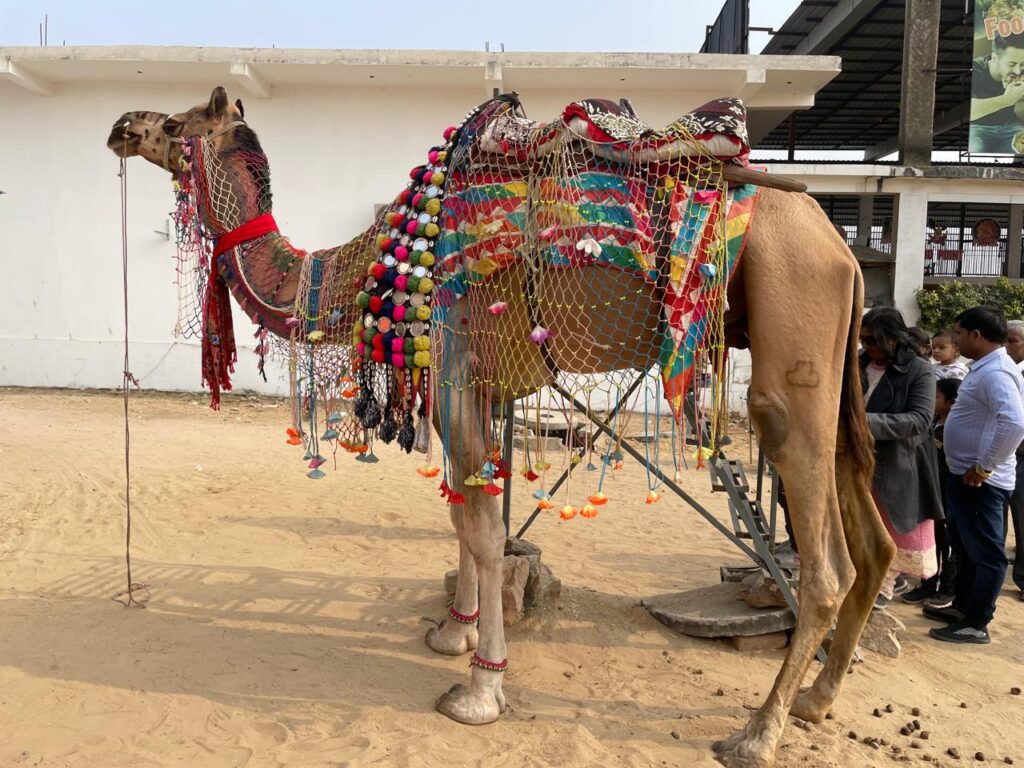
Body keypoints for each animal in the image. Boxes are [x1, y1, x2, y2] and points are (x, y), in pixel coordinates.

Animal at [107, 86, 894, 768]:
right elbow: (462, 515)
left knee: (825, 555)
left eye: (175, 124)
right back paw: (818, 701)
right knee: (874, 537)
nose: (121, 126)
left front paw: (480, 689)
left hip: (790, 332)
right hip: (835, 369)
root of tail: (842, 247)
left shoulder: (454, 368)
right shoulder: (480, 384)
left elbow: (483, 531)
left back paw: (757, 734)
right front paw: (450, 633)